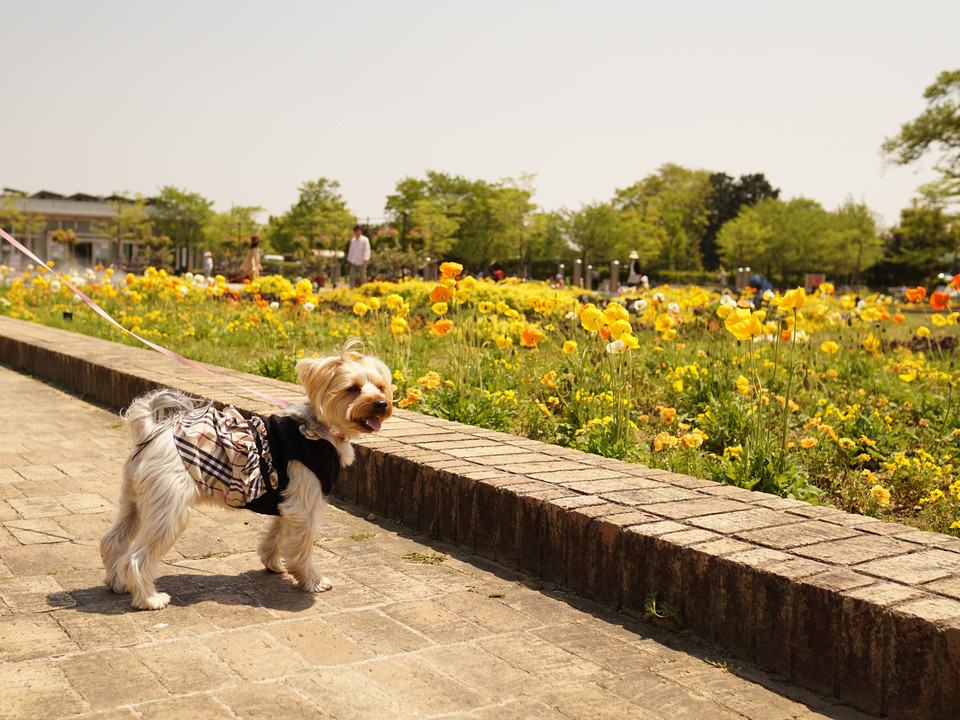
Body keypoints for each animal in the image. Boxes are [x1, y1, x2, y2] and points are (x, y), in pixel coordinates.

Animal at [99, 338, 392, 608]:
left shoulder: (284, 500)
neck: (320, 430)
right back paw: (149, 598)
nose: (381, 404)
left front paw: (273, 563)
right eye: (352, 389)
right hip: (168, 508)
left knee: (113, 541)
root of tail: (151, 433)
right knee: (135, 558)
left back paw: (117, 583)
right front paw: (312, 580)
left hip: (134, 501)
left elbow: (275, 532)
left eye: (380, 387)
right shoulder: (304, 504)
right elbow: (302, 547)